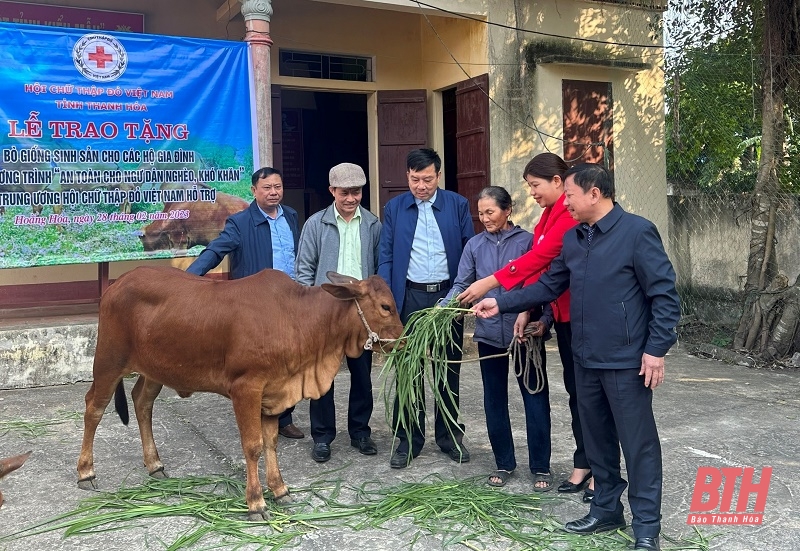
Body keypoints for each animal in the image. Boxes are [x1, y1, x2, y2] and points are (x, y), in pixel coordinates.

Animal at [78, 268, 404, 520]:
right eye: (386, 306)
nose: (403, 339)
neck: (296, 318)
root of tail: (118, 282)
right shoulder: (246, 389)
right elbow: (253, 446)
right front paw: (256, 503)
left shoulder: (274, 393)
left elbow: (271, 443)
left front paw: (280, 490)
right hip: (109, 361)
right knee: (94, 407)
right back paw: (86, 472)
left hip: (154, 371)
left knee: (142, 402)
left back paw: (155, 464)